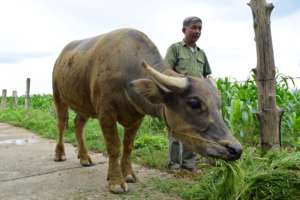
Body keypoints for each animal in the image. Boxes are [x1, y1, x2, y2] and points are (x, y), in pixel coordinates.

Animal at [52, 27, 243, 192]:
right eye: (194, 103)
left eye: (219, 104)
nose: (236, 149)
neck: (127, 74)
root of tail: (60, 57)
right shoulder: (106, 113)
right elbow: (114, 147)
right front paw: (116, 182)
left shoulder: (137, 117)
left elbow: (128, 146)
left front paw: (128, 174)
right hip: (58, 97)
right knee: (61, 124)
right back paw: (60, 154)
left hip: (83, 104)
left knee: (78, 124)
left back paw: (84, 157)